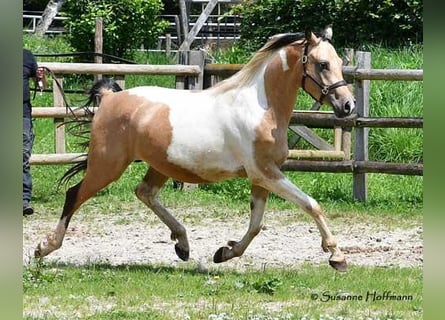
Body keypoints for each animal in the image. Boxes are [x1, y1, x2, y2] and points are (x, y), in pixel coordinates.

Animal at [34, 27, 354, 272]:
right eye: (322, 64)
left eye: (339, 61)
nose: (348, 105)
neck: (261, 108)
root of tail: (111, 99)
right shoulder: (265, 173)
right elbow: (311, 204)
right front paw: (336, 256)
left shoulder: (261, 177)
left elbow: (255, 225)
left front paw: (224, 253)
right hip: (107, 166)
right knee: (74, 195)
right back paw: (44, 248)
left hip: (160, 165)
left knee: (144, 193)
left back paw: (183, 245)